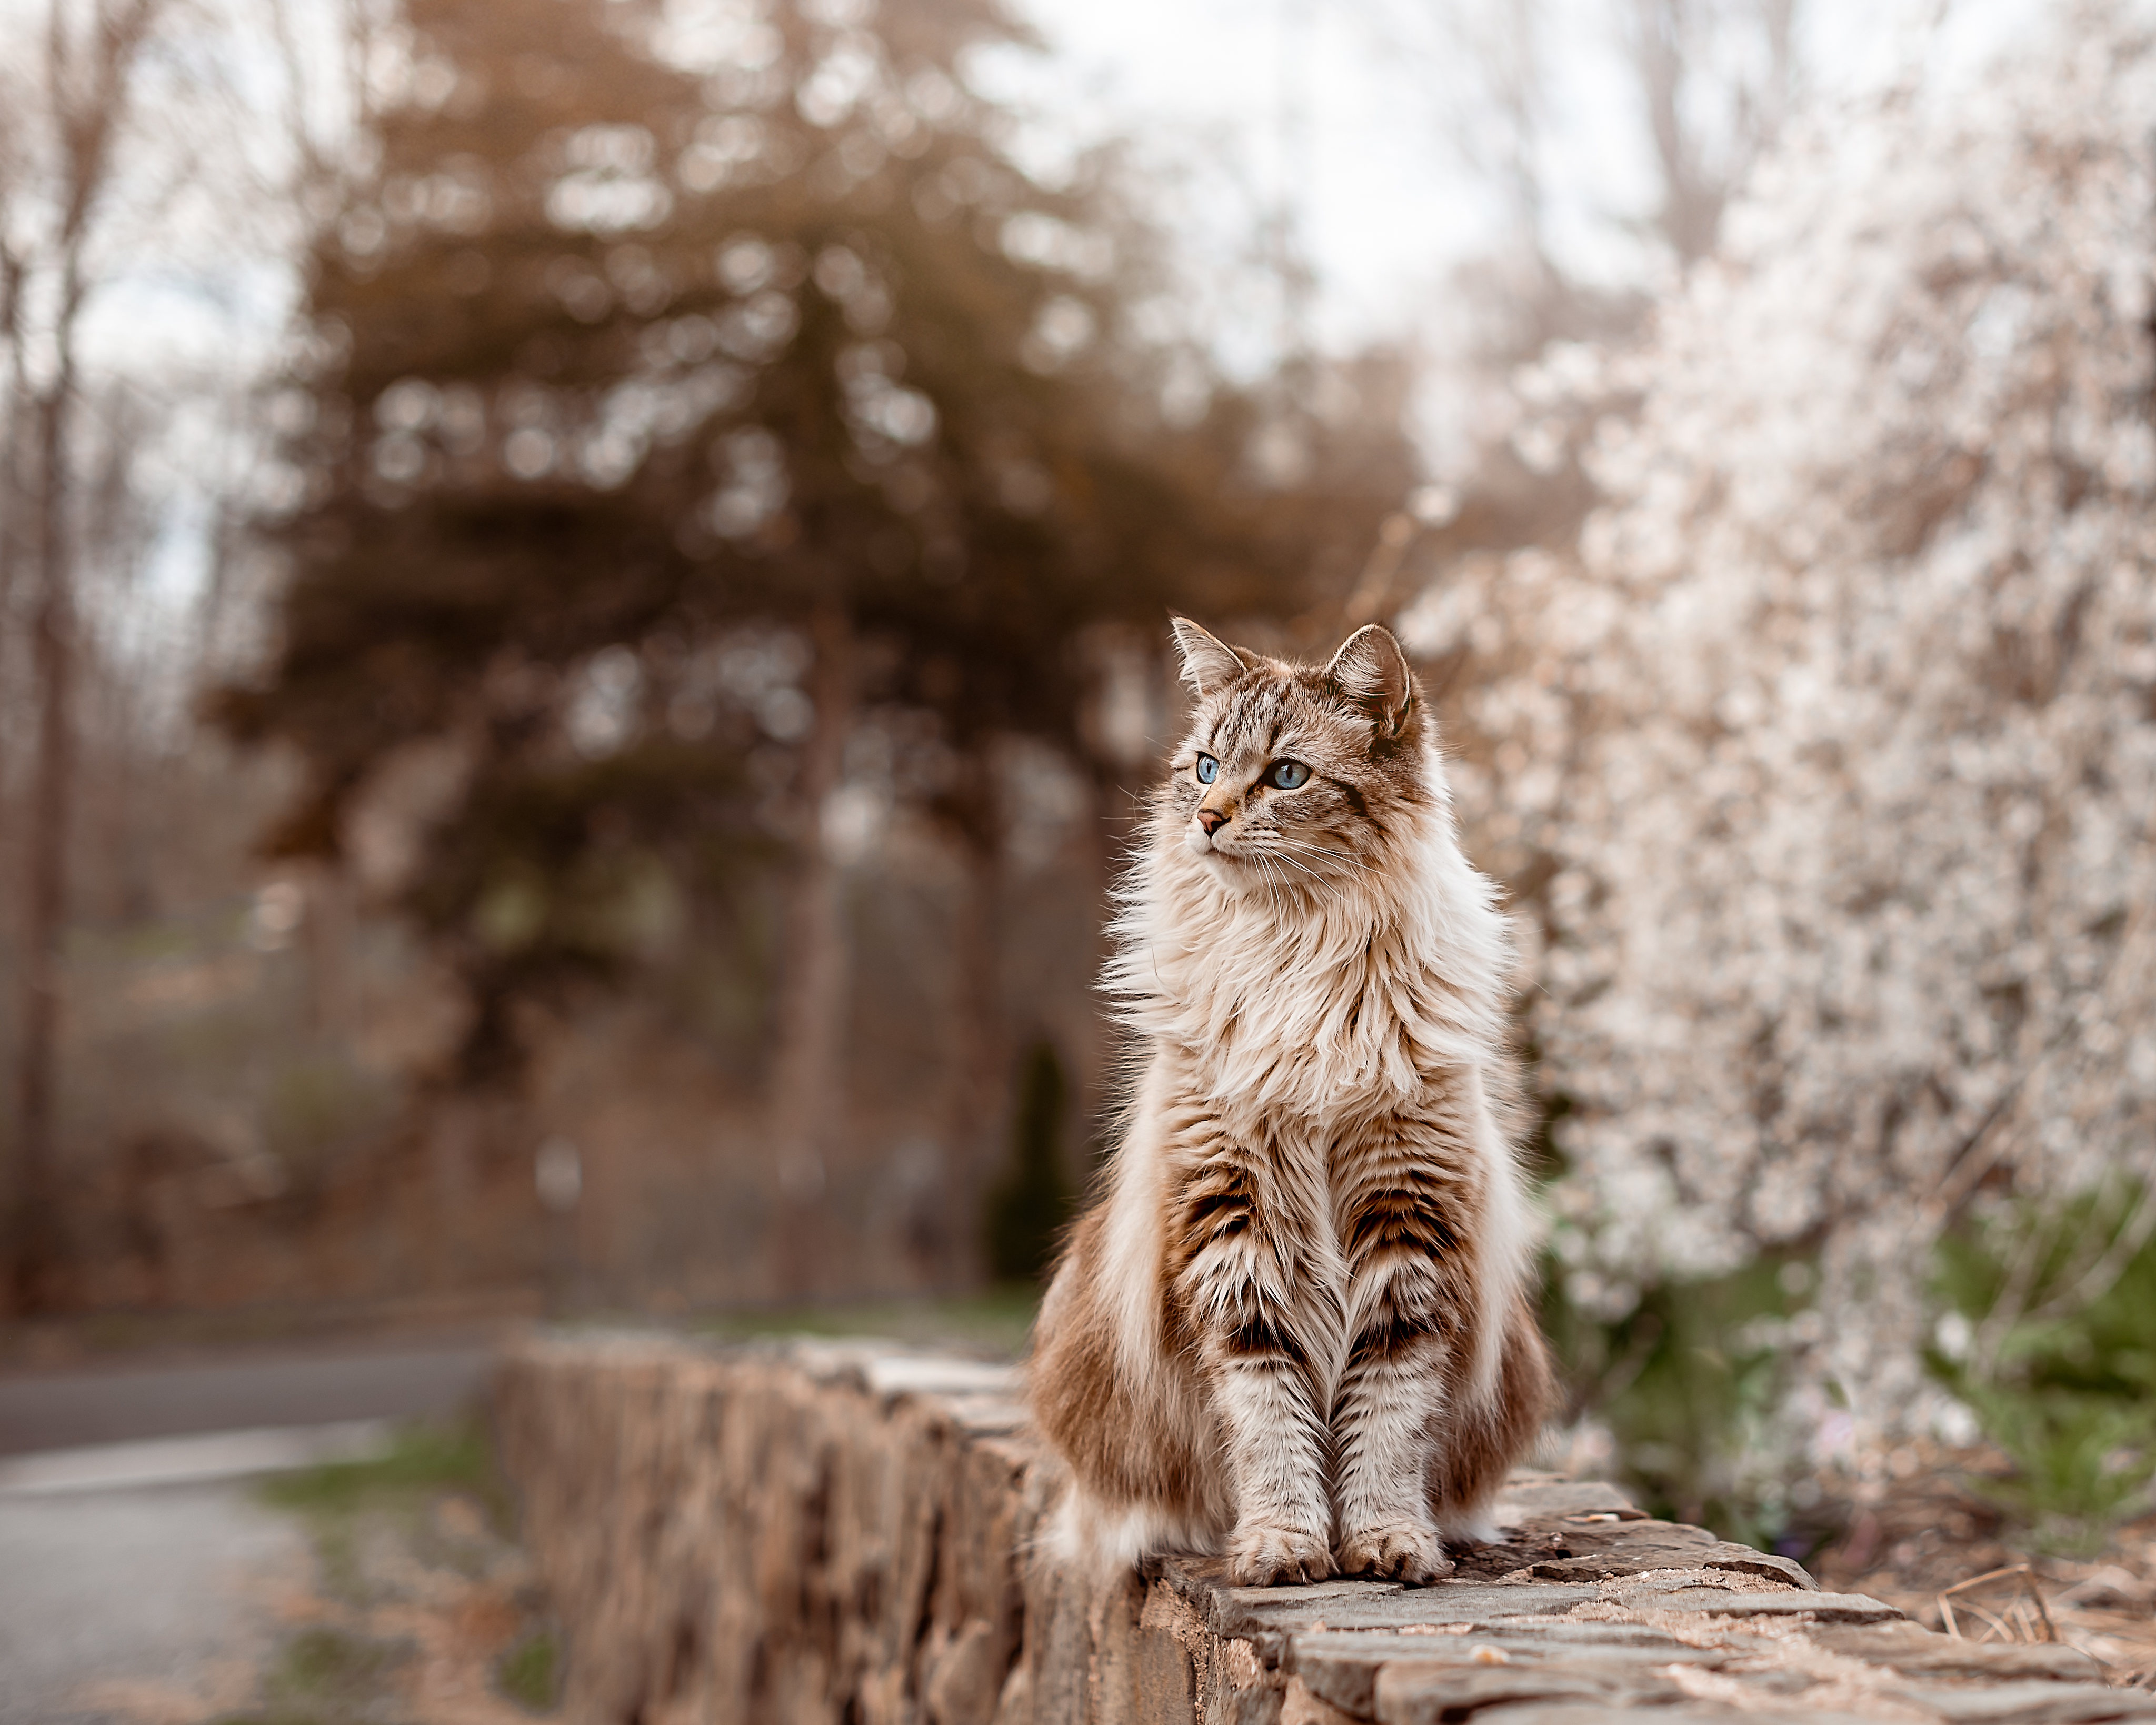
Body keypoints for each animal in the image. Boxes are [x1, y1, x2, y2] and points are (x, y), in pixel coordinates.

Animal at [1026, 612, 1552, 1587]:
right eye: (1203, 767)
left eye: (1286, 777)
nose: (1207, 818)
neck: (1298, 956)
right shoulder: (1230, 1218)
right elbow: (1269, 1414)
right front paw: (1284, 1545)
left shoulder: (1408, 1220)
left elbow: (1385, 1419)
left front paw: (1385, 1543)